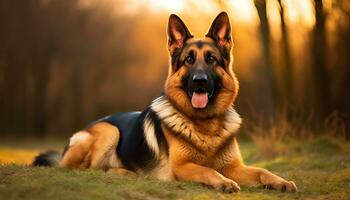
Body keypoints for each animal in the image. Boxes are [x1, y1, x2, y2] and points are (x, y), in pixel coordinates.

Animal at [32, 11, 296, 193]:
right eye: (189, 60)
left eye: (211, 59)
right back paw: (123, 172)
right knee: (89, 169)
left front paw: (281, 181)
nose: (200, 82)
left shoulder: (235, 166)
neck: (205, 125)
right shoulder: (183, 166)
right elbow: (208, 169)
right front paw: (224, 182)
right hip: (109, 131)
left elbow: (262, 170)